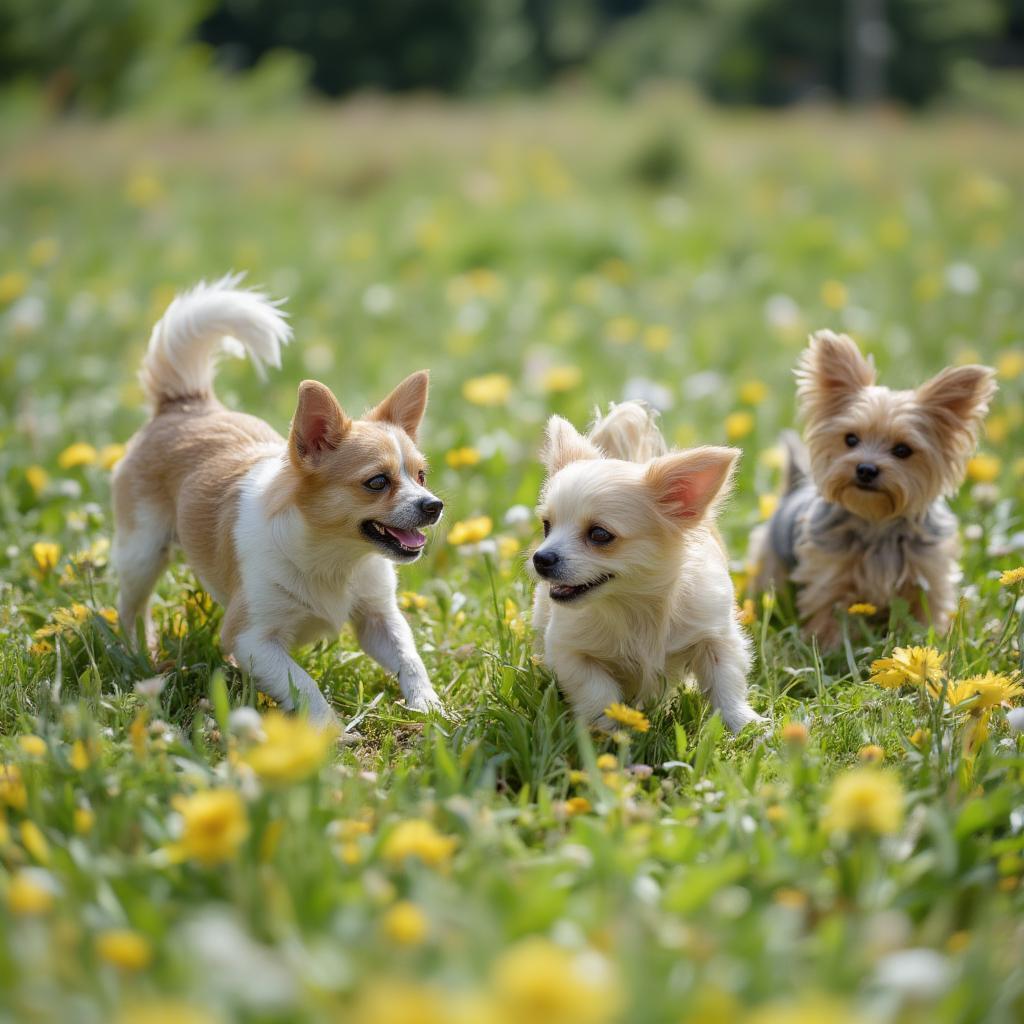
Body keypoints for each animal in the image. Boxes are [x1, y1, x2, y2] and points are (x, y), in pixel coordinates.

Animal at [114, 276, 446, 724]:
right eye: (377, 482)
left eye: (421, 476)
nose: (434, 505)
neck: (334, 558)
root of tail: (187, 403)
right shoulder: (252, 639)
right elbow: (303, 685)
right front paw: (330, 731)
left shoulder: (379, 619)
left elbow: (410, 659)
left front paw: (429, 706)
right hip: (143, 553)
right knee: (132, 607)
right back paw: (137, 653)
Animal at [532, 401, 765, 737]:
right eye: (547, 526)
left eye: (599, 534)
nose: (540, 559)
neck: (635, 605)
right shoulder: (570, 651)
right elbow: (598, 693)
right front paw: (610, 734)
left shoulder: (717, 637)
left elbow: (726, 684)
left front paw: (745, 725)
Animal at [753, 327, 991, 647]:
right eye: (850, 439)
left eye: (902, 450)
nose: (865, 469)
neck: (877, 521)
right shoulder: (830, 576)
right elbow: (828, 618)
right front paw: (828, 649)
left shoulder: (928, 576)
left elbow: (923, 620)